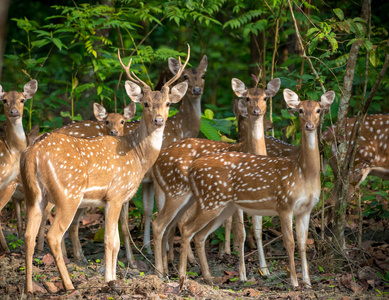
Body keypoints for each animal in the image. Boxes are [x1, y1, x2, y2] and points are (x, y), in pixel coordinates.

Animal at [21, 47, 189, 292]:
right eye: (145, 103)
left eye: (168, 103)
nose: (159, 120)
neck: (137, 155)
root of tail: (32, 154)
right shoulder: (116, 194)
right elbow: (111, 241)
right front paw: (111, 281)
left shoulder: (111, 199)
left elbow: (116, 241)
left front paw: (112, 278)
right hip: (67, 193)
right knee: (53, 234)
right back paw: (69, 285)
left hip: (34, 194)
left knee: (28, 234)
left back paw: (29, 288)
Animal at [177, 89, 334, 288]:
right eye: (299, 110)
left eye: (318, 110)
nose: (309, 125)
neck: (304, 173)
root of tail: (192, 169)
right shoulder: (284, 204)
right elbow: (289, 243)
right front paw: (294, 282)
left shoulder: (305, 209)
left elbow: (303, 243)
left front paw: (307, 282)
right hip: (210, 201)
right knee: (187, 228)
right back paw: (182, 276)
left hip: (223, 206)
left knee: (199, 235)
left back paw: (208, 277)